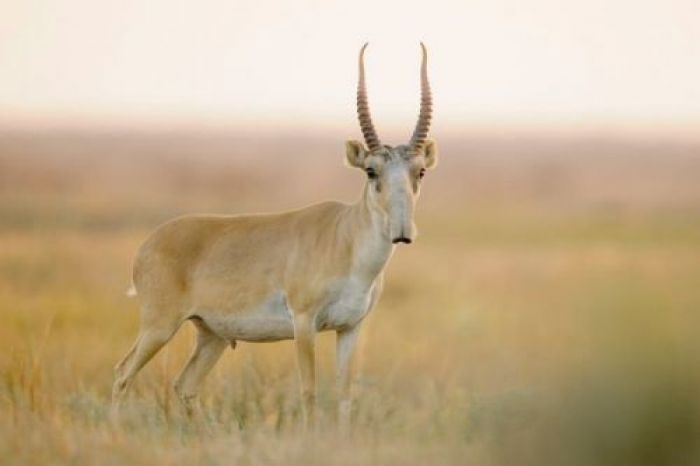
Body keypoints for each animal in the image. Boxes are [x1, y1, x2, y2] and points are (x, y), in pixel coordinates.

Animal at [110, 42, 438, 426]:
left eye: (420, 171)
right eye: (371, 170)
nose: (402, 232)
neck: (345, 238)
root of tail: (148, 244)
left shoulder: (349, 328)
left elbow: (344, 395)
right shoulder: (304, 323)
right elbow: (309, 391)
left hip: (211, 335)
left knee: (184, 384)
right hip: (159, 326)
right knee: (122, 373)